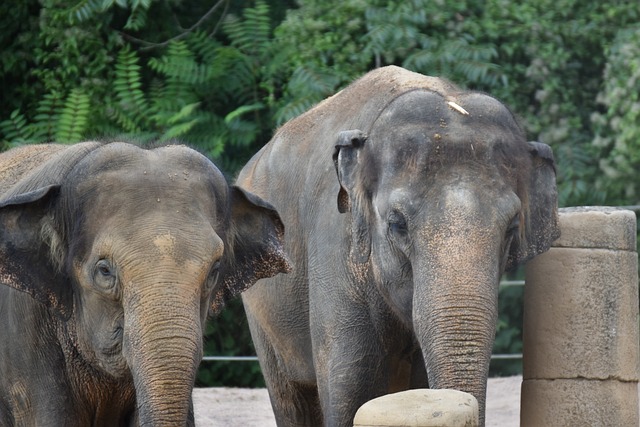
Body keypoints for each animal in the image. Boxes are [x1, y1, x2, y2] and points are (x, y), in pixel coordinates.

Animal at [240, 65, 560, 426]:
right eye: (397, 224)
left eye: (512, 229)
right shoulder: (335, 254)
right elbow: (351, 395)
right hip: (260, 309)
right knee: (291, 399)